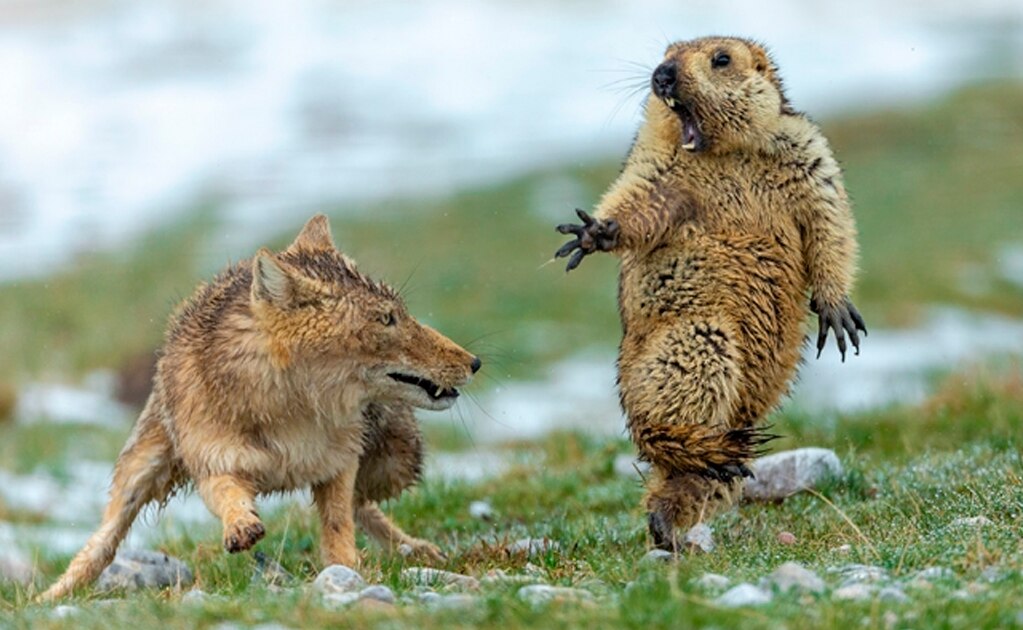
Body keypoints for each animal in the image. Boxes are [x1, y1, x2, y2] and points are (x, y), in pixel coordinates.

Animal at [40, 214, 480, 601]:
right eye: (386, 320)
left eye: (400, 314)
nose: (475, 362)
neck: (290, 414)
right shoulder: (215, 463)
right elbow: (229, 496)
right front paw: (241, 526)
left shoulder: (338, 464)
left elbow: (339, 525)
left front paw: (347, 571)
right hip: (139, 472)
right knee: (102, 543)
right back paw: (51, 595)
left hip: (395, 462)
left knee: (364, 505)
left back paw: (416, 549)